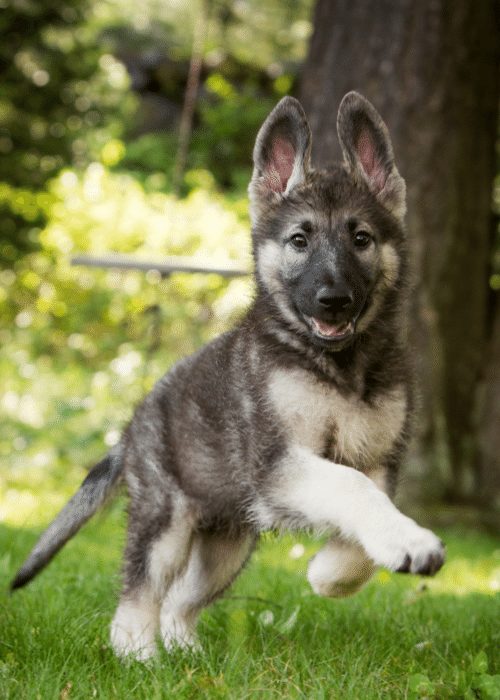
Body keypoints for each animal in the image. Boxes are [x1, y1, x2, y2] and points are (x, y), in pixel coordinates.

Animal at [10, 94, 446, 660]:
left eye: (361, 238)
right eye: (300, 240)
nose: (333, 300)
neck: (338, 365)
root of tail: (132, 428)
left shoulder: (377, 460)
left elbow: (364, 518)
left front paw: (331, 574)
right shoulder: (280, 463)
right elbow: (349, 488)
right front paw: (410, 544)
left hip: (229, 540)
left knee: (179, 600)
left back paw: (186, 656)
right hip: (167, 522)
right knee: (140, 592)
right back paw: (140, 658)